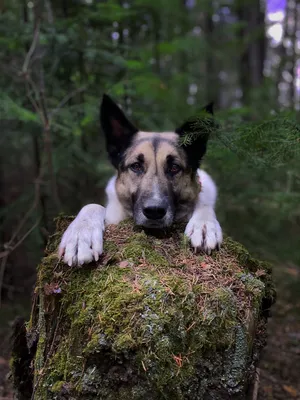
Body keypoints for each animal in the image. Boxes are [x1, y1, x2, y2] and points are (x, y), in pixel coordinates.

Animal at [59, 94, 223, 266]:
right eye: (136, 166)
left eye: (174, 167)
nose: (154, 211)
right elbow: (92, 206)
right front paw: (80, 236)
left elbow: (204, 205)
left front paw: (204, 225)